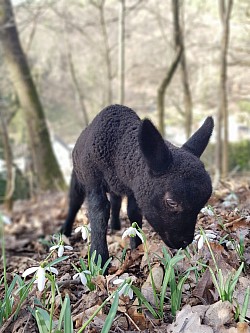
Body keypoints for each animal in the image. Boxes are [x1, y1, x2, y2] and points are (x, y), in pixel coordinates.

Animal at [61, 104, 214, 264]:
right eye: (172, 202)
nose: (184, 242)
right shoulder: (94, 182)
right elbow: (99, 213)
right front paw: (99, 258)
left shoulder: (134, 187)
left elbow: (133, 212)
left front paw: (136, 247)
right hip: (78, 176)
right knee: (74, 202)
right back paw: (65, 230)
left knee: (115, 201)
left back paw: (115, 225)